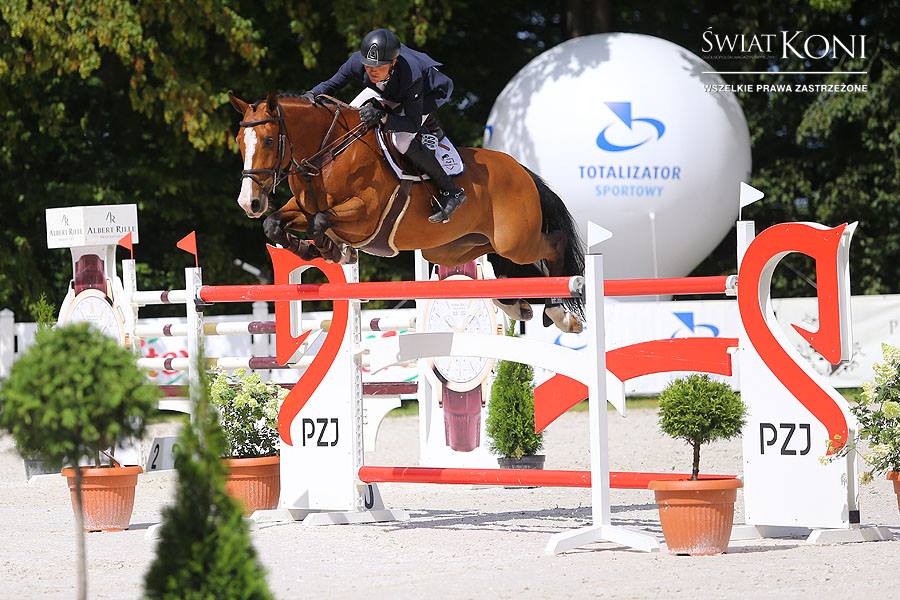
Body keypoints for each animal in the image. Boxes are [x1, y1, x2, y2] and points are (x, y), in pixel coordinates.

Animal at [228, 91, 585, 332]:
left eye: (269, 140)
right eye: (240, 141)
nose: (249, 203)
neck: (328, 153)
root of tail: (522, 170)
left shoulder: (366, 214)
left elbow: (321, 220)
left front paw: (333, 249)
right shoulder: (300, 208)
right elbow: (275, 224)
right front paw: (308, 248)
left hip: (516, 241)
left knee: (553, 246)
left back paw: (560, 311)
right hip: (458, 247)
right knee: (501, 267)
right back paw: (517, 306)